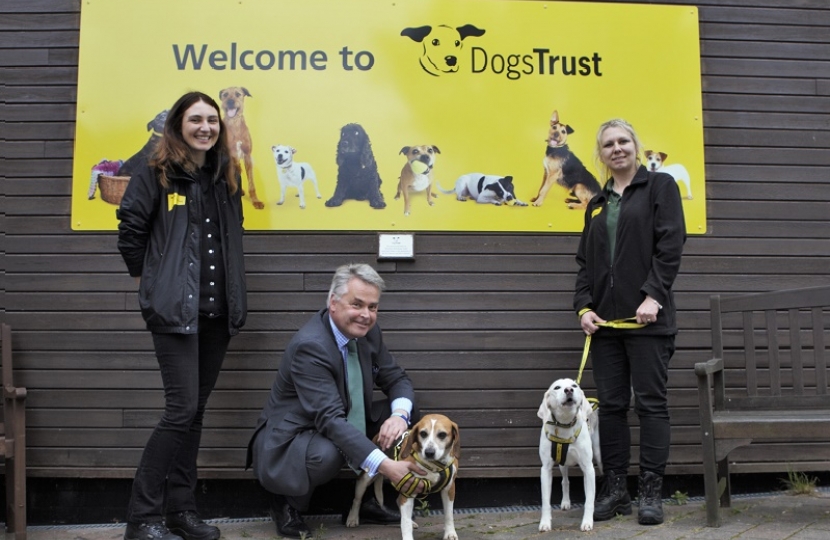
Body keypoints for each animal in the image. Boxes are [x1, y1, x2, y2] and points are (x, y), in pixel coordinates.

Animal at [540, 378, 604, 532]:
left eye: (574, 385)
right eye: (557, 387)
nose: (569, 390)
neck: (565, 423)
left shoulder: (589, 468)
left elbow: (589, 500)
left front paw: (587, 522)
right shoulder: (545, 469)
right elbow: (545, 501)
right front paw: (545, 523)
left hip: (598, 456)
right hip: (562, 464)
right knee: (565, 481)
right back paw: (566, 501)